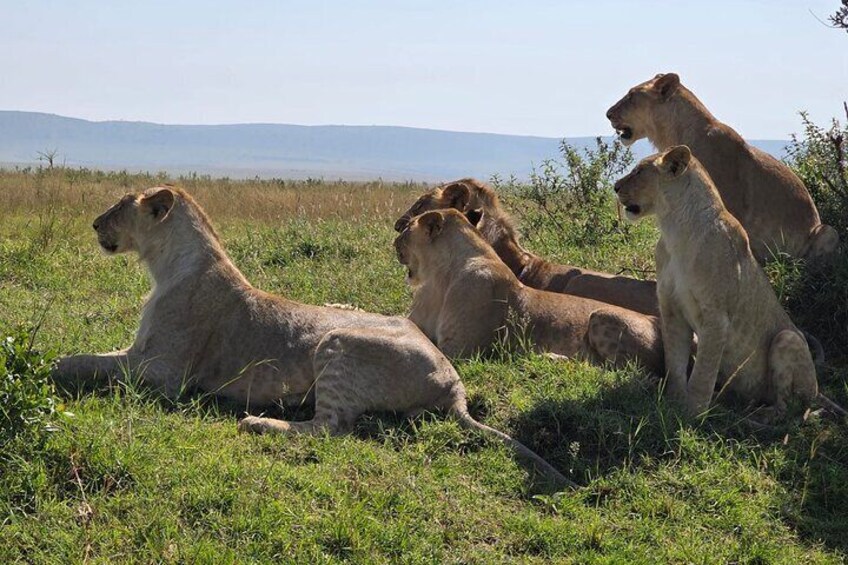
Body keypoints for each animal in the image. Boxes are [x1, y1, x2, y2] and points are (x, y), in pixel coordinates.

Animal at [53, 186, 571, 485]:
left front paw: (49, 367)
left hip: (336, 344)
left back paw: (259, 422)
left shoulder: (164, 374)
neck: (164, 265)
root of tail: (456, 385)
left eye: (120, 208)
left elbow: (79, 361)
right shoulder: (138, 352)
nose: (95, 224)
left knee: (331, 429)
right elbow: (94, 356)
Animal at [393, 208, 664, 372]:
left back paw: (552, 358)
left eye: (406, 229)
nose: (393, 241)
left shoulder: (461, 350)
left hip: (603, 316)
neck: (437, 276)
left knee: (620, 372)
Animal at [614, 145, 844, 419]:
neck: (674, 228)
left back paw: (762, 415)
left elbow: (703, 372)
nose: (615, 186)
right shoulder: (671, 311)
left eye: (639, 171)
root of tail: (819, 389)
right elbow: (675, 363)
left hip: (788, 338)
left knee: (792, 406)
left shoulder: (716, 318)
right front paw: (672, 404)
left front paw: (692, 414)